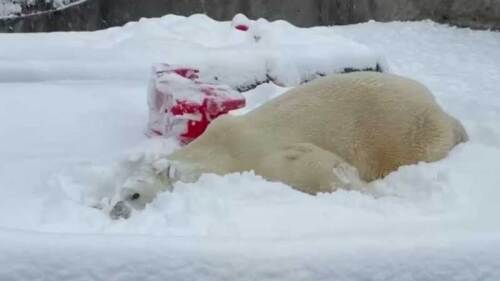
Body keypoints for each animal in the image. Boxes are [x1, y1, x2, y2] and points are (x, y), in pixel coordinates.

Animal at [109, 71, 468, 218]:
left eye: (134, 195)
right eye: (114, 195)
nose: (115, 211)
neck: (216, 149)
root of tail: (439, 109)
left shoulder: (256, 154)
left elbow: (313, 164)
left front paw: (368, 191)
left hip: (406, 129)